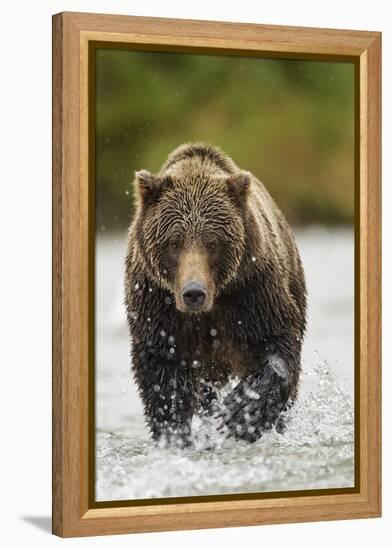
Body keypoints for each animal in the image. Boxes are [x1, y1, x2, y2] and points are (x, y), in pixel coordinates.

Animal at [124, 143, 308, 448]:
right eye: (174, 242)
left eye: (212, 242)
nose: (193, 293)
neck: (210, 308)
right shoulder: (157, 304)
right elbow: (163, 373)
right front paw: (174, 433)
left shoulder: (252, 290)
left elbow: (277, 340)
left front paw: (242, 412)